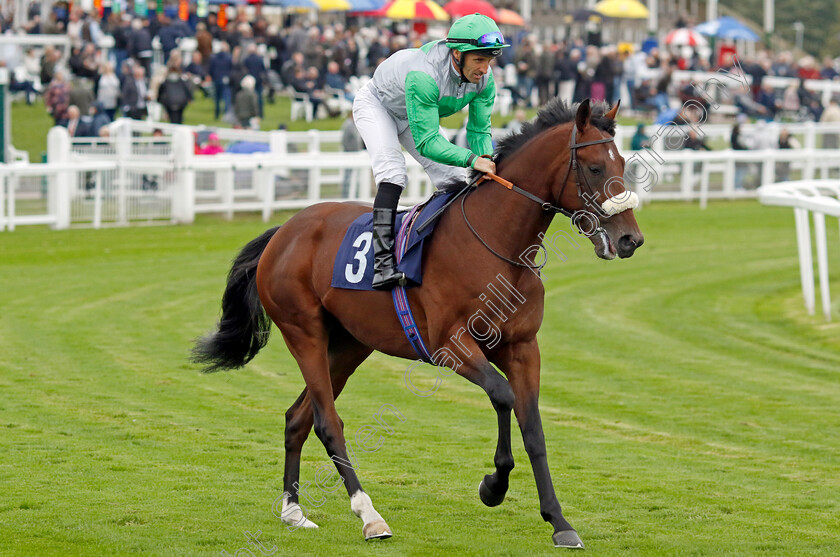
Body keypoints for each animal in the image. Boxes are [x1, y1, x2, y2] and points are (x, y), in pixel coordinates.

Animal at [194, 99, 648, 548]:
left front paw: (558, 521)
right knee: (328, 422)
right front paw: (493, 486)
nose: (631, 240)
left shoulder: (522, 348)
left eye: (623, 162)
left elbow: (533, 427)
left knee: (297, 418)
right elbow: (503, 396)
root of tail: (283, 231)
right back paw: (369, 515)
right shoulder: (451, 345)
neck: (496, 244)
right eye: (594, 167)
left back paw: (293, 511)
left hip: (349, 345)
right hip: (303, 332)